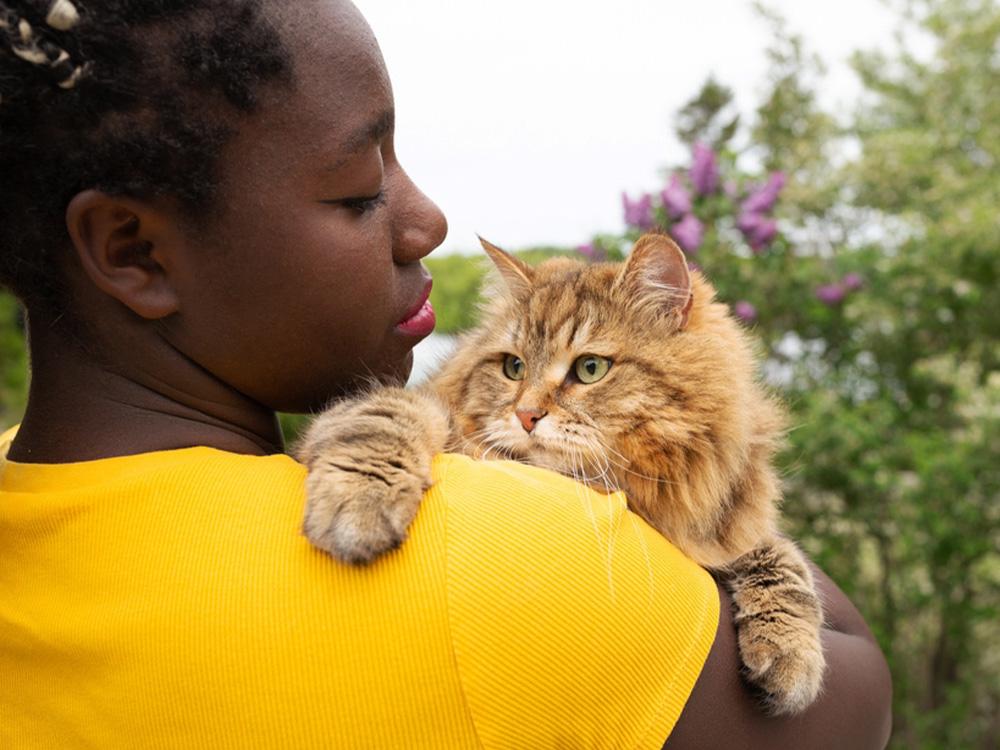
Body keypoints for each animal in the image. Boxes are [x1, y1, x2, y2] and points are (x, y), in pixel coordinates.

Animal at [292, 235, 824, 716]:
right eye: (513, 367)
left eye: (590, 368)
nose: (526, 415)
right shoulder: (420, 409)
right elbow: (384, 415)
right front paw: (359, 502)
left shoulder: (725, 525)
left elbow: (782, 560)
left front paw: (791, 653)